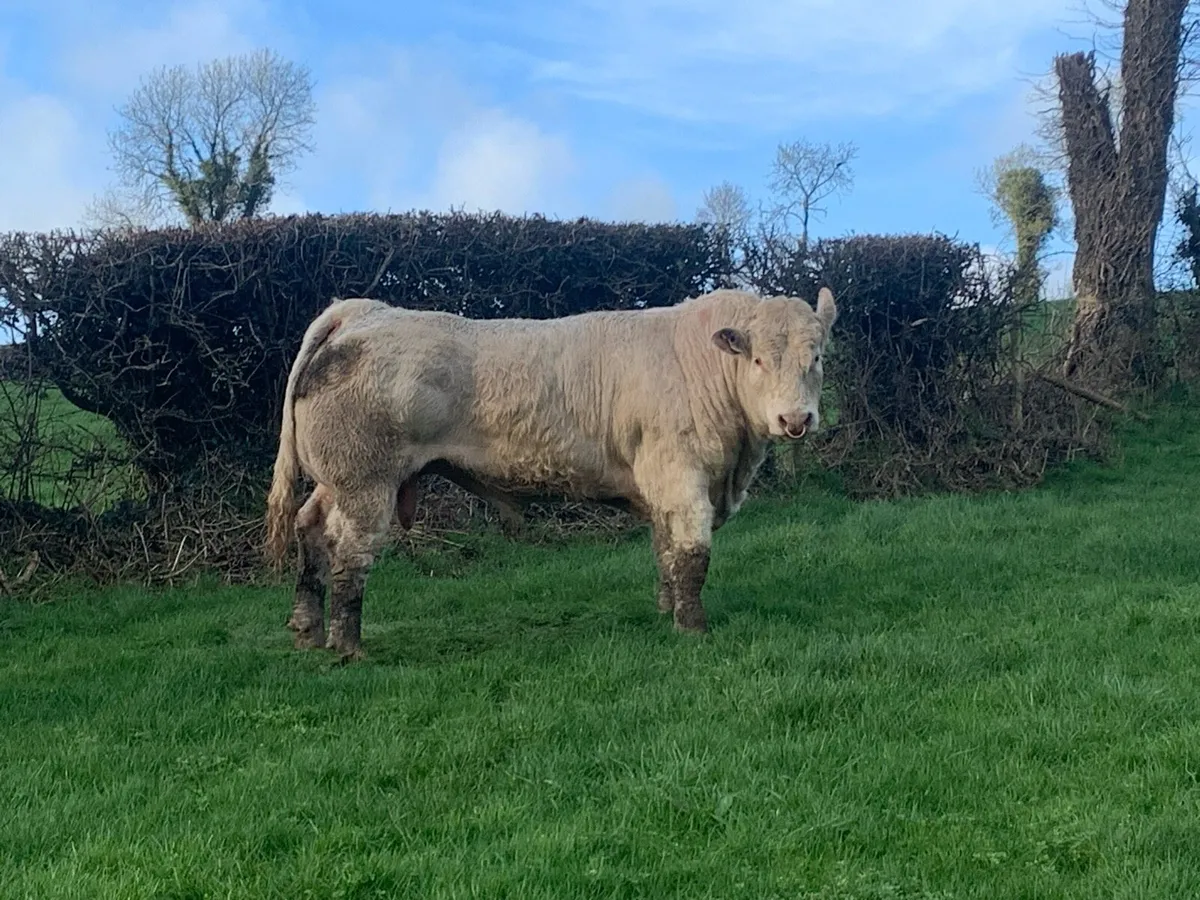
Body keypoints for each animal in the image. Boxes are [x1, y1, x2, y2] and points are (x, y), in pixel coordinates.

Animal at [265, 287, 837, 660]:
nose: (795, 420)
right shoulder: (681, 476)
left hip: (335, 481)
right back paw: (347, 645)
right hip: (366, 482)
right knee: (348, 552)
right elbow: (692, 555)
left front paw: (664, 610)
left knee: (310, 529)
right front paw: (693, 628)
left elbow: (666, 552)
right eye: (759, 360)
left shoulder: (662, 486)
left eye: (816, 357)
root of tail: (363, 312)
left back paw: (305, 629)